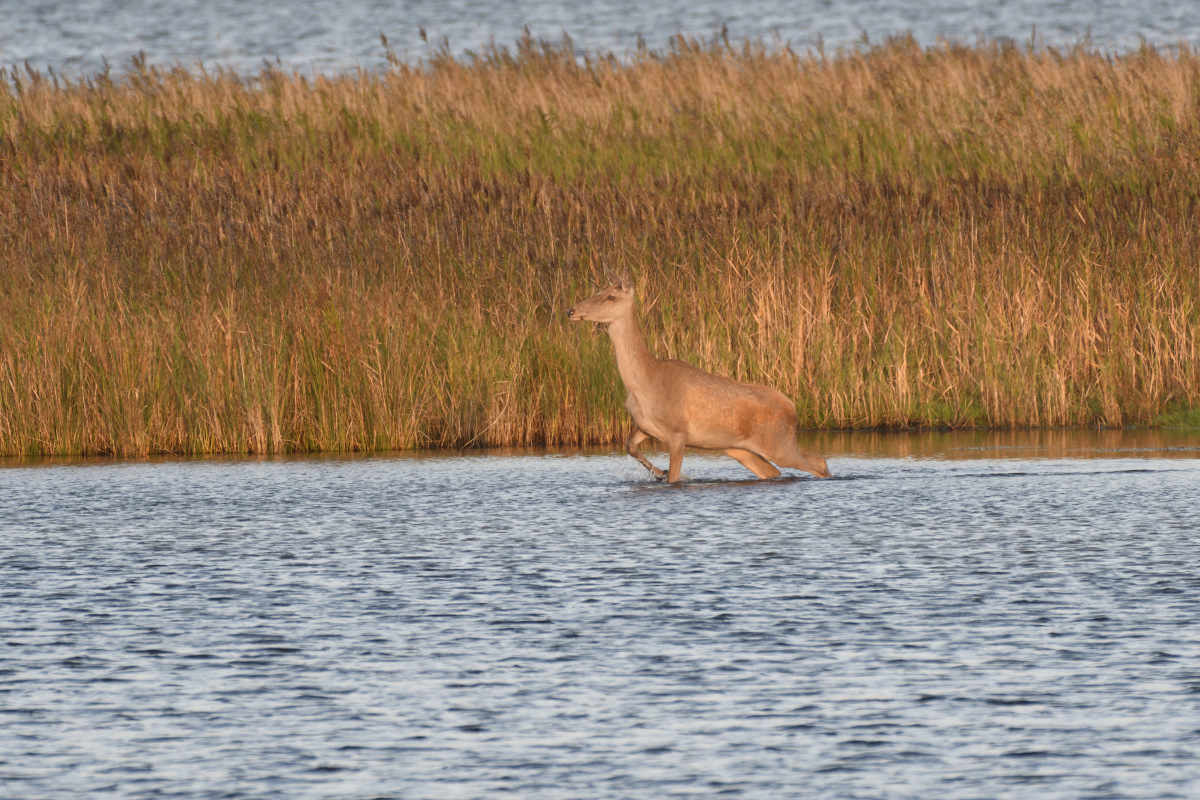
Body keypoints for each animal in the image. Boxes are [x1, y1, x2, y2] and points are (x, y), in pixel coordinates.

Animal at [567, 280, 831, 482]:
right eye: (597, 290)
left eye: (610, 297)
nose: (571, 310)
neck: (645, 385)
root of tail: (793, 408)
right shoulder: (644, 425)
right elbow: (629, 446)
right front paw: (658, 472)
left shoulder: (678, 432)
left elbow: (674, 477)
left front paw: (665, 473)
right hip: (738, 448)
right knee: (773, 471)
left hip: (779, 443)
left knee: (819, 462)